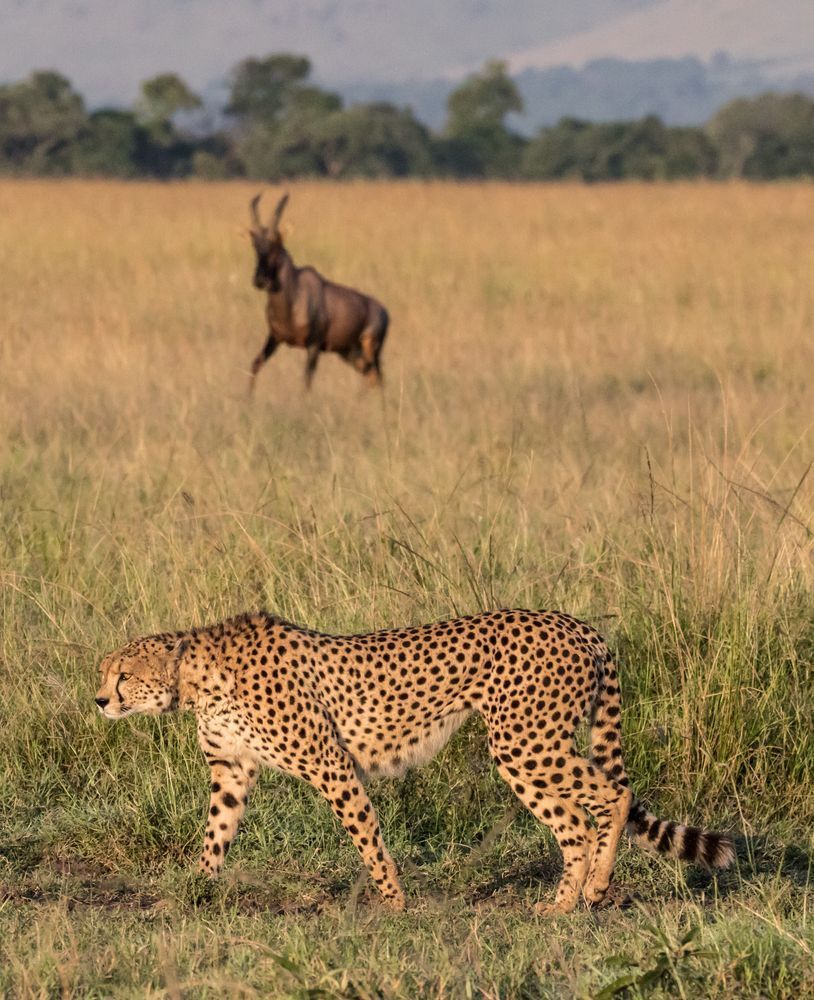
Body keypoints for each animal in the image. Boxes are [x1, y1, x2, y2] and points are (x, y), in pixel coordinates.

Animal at [95, 608, 734, 913]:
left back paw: (594, 891)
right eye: (105, 674)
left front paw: (394, 902)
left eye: (122, 675)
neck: (196, 678)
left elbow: (367, 836)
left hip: (525, 742)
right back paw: (561, 907)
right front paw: (195, 890)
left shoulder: (331, 765)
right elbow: (216, 834)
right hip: (528, 749)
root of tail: (577, 624)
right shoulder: (231, 770)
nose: (99, 701)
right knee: (577, 820)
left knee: (611, 796)